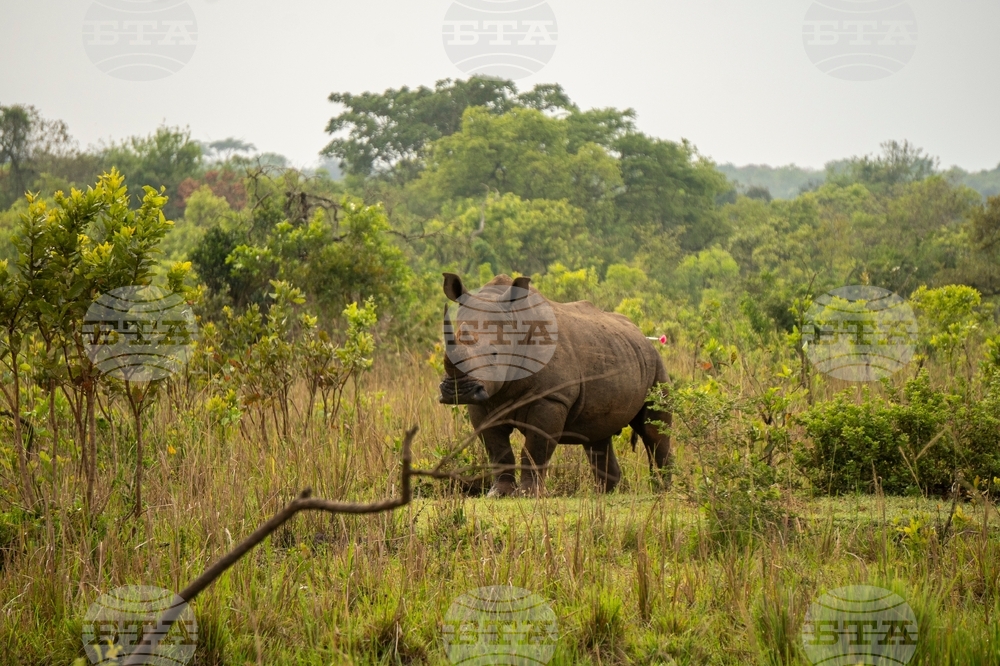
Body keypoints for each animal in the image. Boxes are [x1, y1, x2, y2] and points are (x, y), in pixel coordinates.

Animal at [438, 273, 672, 496]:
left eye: (495, 354)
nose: (458, 391)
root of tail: (642, 335)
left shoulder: (551, 398)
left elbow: (535, 448)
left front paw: (528, 494)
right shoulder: (482, 402)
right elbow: (498, 450)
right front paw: (498, 494)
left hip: (656, 363)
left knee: (654, 430)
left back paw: (663, 490)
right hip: (615, 350)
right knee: (597, 436)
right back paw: (604, 494)